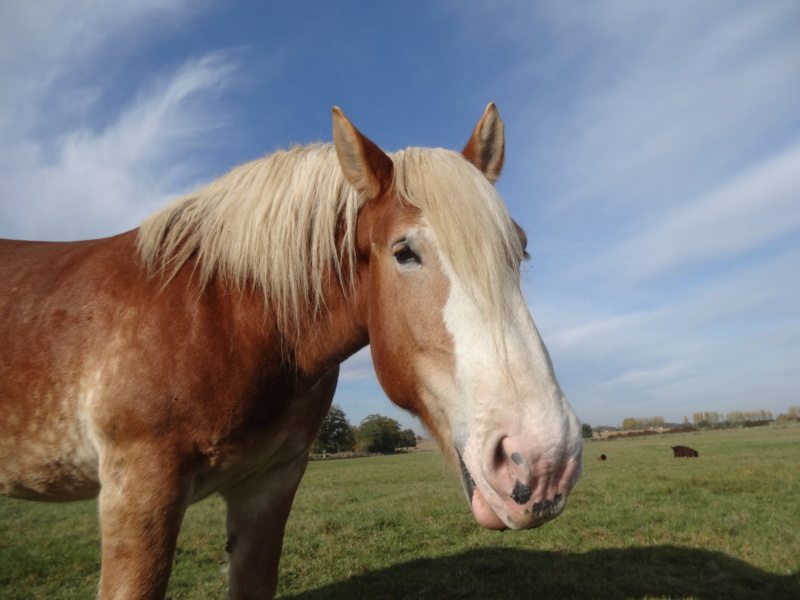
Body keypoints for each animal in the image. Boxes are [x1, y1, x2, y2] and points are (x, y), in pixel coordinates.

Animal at [3, 105, 584, 596]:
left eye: (520, 249)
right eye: (404, 252)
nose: (546, 461)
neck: (223, 312)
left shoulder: (269, 487)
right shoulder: (137, 492)